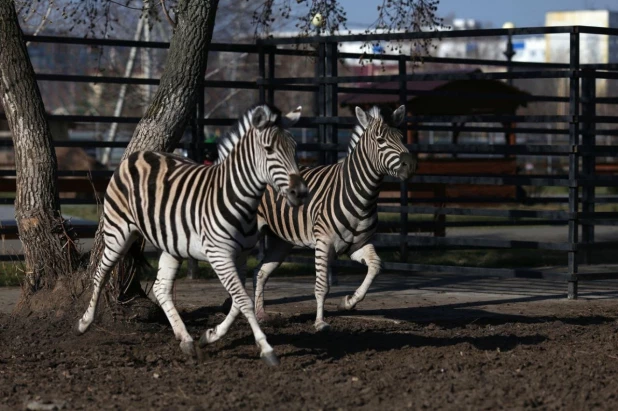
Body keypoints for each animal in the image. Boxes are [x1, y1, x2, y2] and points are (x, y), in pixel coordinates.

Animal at [77, 104, 308, 366]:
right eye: (269, 149)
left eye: (295, 148)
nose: (301, 193)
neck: (239, 198)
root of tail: (139, 154)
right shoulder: (220, 256)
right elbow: (243, 300)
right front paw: (267, 349)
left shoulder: (239, 257)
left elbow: (237, 302)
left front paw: (210, 336)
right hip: (118, 232)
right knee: (101, 273)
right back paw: (85, 322)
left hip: (171, 244)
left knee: (161, 288)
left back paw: (186, 339)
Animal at [250, 105, 414, 332]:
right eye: (380, 140)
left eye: (400, 137)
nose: (410, 164)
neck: (362, 196)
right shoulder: (324, 243)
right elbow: (321, 286)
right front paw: (320, 322)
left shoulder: (356, 245)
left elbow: (375, 266)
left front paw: (348, 302)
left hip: (280, 241)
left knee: (260, 272)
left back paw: (261, 315)